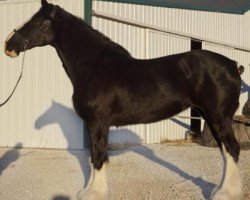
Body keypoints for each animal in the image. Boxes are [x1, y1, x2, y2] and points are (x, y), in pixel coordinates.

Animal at [4, 0, 244, 199]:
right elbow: (94, 156)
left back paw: (226, 194)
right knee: (225, 150)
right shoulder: (95, 124)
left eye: (35, 22)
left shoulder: (98, 122)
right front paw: (88, 191)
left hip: (218, 117)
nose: (8, 45)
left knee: (232, 148)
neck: (94, 67)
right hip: (210, 116)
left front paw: (94, 194)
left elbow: (98, 156)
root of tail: (233, 65)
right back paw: (219, 190)